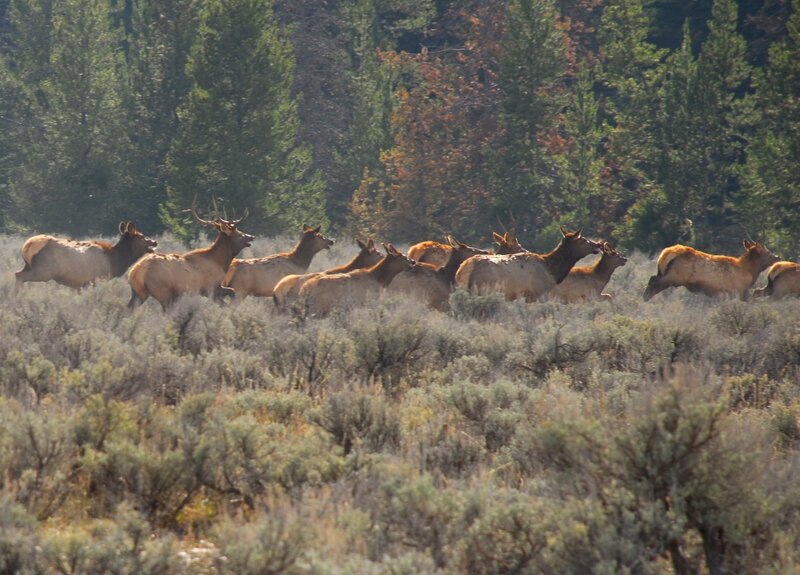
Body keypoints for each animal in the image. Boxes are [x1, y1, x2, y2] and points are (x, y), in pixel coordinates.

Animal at [15, 221, 157, 289]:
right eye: (141, 236)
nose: (154, 242)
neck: (115, 260)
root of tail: (27, 245)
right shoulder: (94, 280)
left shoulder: (80, 284)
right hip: (44, 271)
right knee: (20, 276)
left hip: (29, 266)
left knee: (18, 273)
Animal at [454, 227, 601, 301]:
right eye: (583, 239)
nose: (598, 244)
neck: (552, 270)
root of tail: (462, 270)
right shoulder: (537, 292)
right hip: (482, 289)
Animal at [643, 240, 780, 302]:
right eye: (767, 252)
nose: (777, 257)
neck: (749, 271)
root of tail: (665, 254)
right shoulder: (738, 289)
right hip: (676, 276)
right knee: (654, 281)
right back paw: (645, 297)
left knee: (653, 279)